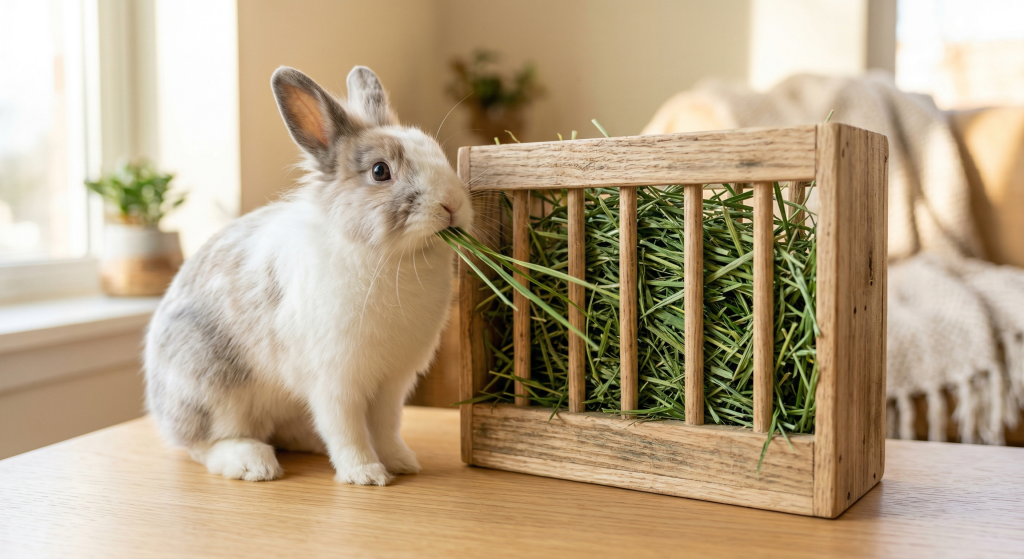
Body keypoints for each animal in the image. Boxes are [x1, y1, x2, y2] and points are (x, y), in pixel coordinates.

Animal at [143, 65, 472, 486]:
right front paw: (366, 474)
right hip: (210, 388)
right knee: (204, 445)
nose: (452, 205)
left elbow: (386, 427)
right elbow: (347, 428)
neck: (392, 257)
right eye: (380, 171)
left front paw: (401, 462)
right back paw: (252, 462)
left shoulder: (392, 383)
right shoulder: (336, 381)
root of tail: (159, 407)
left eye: (434, 149)